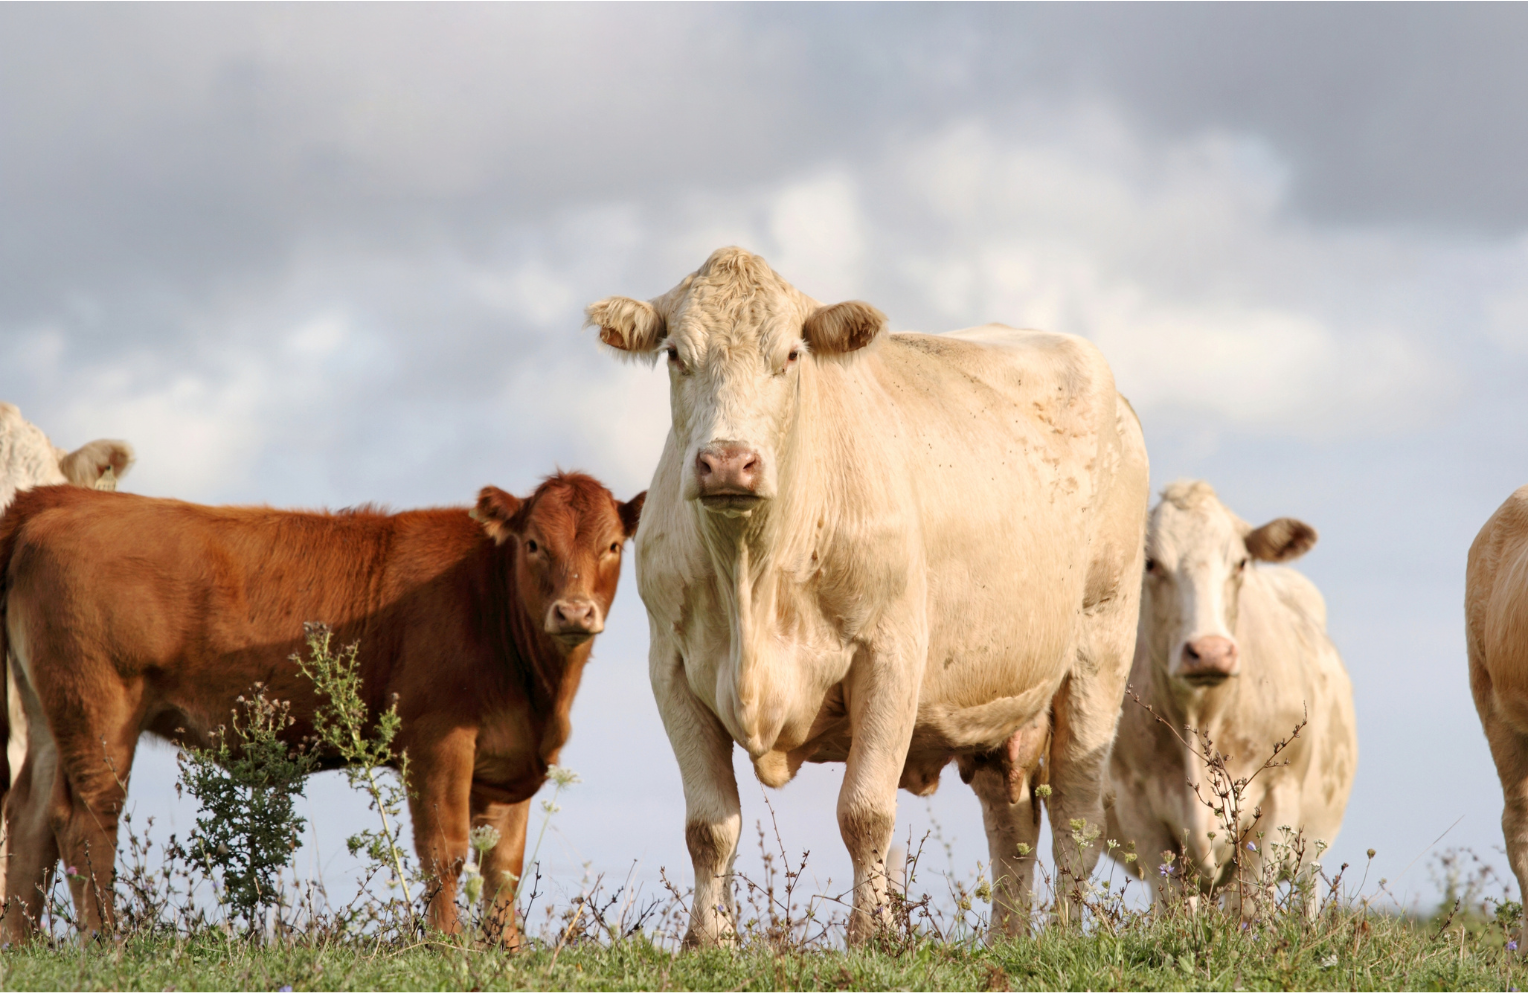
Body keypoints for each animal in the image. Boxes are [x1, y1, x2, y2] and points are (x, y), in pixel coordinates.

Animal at [0, 472, 643, 943]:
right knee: (86, 820)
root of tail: (60, 499)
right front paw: (448, 948)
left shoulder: (506, 762)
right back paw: (104, 943)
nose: (574, 611)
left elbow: (503, 866)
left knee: (30, 816)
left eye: (613, 546)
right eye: (534, 545)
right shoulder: (437, 740)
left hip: (49, 711)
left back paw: (23, 947)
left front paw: (507, 954)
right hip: (98, 705)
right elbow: (446, 853)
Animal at [585, 247, 1149, 943]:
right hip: (1000, 700)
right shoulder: (670, 665)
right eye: (674, 355)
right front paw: (708, 939)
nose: (728, 461)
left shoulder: (892, 653)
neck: (752, 576)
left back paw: (1066, 935)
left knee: (1077, 814)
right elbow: (709, 826)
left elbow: (864, 812)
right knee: (1011, 824)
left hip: (1102, 641)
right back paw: (1008, 939)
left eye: (791, 354)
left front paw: (873, 934)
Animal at [1105, 480, 1357, 912]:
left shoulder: (1277, 801)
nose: (1210, 651)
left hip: (1314, 842)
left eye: (1240, 563)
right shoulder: (1138, 806)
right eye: (1150, 563)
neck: (1202, 712)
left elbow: (1251, 905)